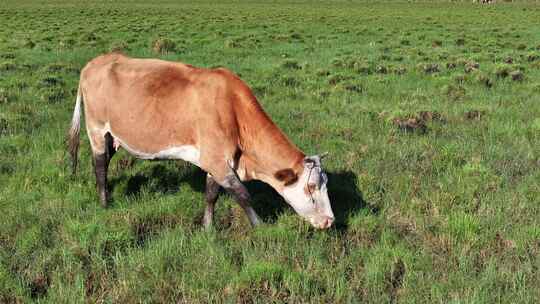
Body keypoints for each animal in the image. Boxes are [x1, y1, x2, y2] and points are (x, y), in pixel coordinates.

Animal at [67, 52, 334, 228]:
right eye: (311, 187)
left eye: (325, 184)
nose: (330, 221)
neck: (234, 109)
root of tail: (95, 62)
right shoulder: (216, 160)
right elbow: (243, 194)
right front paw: (260, 227)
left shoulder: (217, 160)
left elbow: (211, 194)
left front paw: (207, 228)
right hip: (97, 129)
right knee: (99, 165)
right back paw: (104, 203)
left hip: (113, 136)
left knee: (105, 161)